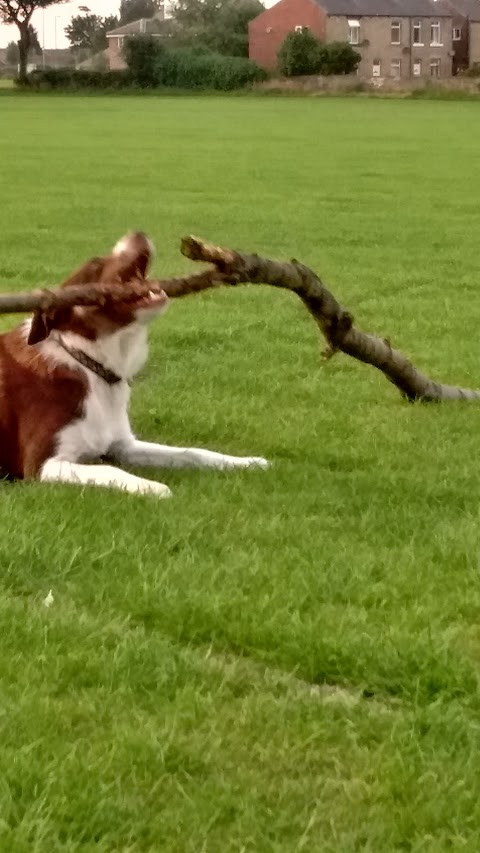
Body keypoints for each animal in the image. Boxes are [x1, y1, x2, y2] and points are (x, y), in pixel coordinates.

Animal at [0, 233, 268, 500]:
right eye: (96, 265)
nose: (138, 234)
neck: (89, 363)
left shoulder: (123, 445)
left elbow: (191, 452)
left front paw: (247, 462)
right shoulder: (42, 465)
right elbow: (109, 469)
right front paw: (153, 487)